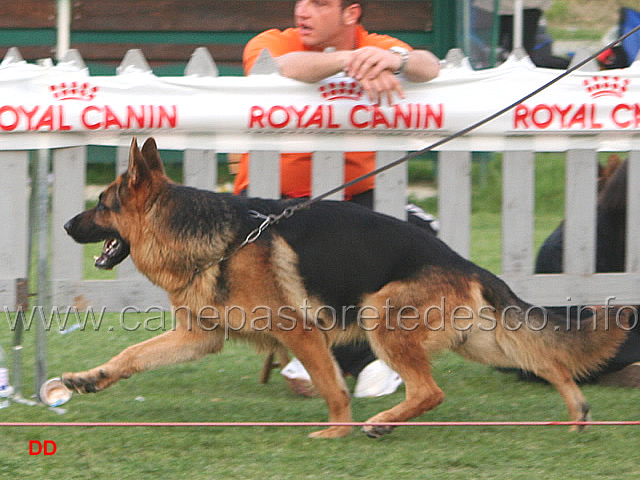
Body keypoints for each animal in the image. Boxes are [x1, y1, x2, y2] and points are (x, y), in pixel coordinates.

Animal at [63, 137, 624, 436]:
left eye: (102, 205)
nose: (67, 225)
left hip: (382, 317)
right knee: (549, 362)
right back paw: (577, 413)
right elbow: (133, 354)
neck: (211, 237)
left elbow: (332, 385)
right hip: (478, 341)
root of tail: (463, 263)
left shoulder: (302, 334)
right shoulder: (199, 337)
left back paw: (382, 422)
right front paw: (90, 378)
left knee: (431, 390)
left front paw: (337, 429)